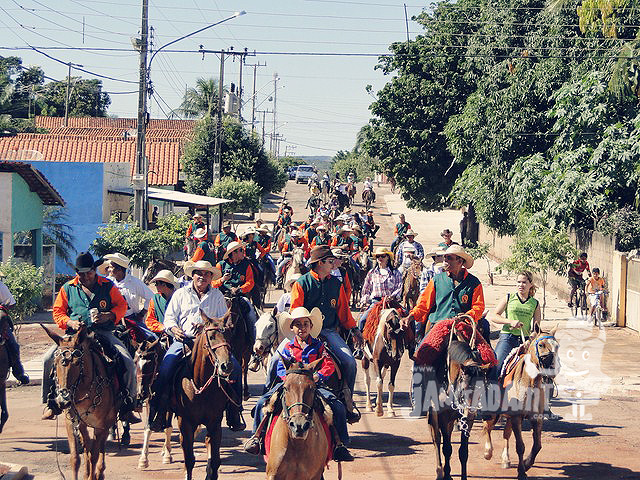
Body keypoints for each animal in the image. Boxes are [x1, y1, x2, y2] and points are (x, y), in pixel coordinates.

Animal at [42, 322, 119, 480]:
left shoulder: (100, 425)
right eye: (56, 363)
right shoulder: (70, 422)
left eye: (77, 363)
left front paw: (94, 474)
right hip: (82, 424)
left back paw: (99, 472)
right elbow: (75, 459)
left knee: (99, 448)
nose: (63, 401)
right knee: (87, 445)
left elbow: (94, 455)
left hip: (107, 421)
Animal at [171, 312, 239, 480]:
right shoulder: (185, 423)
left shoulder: (215, 423)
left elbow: (215, 461)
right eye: (212, 336)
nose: (226, 365)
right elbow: (189, 460)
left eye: (229, 334)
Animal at [480, 324, 560, 478]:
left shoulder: (536, 418)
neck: (529, 383)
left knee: (506, 434)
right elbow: (520, 446)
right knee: (487, 427)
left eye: (557, 346)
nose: (552, 369)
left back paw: (506, 459)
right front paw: (522, 472)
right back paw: (487, 452)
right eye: (541, 345)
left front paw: (527, 464)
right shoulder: (517, 417)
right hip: (494, 414)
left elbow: (537, 445)